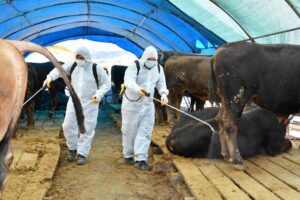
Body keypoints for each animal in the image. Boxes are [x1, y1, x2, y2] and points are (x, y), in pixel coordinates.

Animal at [209, 42, 300, 170]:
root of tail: (224, 48)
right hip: (236, 97)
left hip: (225, 100)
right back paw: (237, 161)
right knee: (229, 123)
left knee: (220, 119)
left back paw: (226, 155)